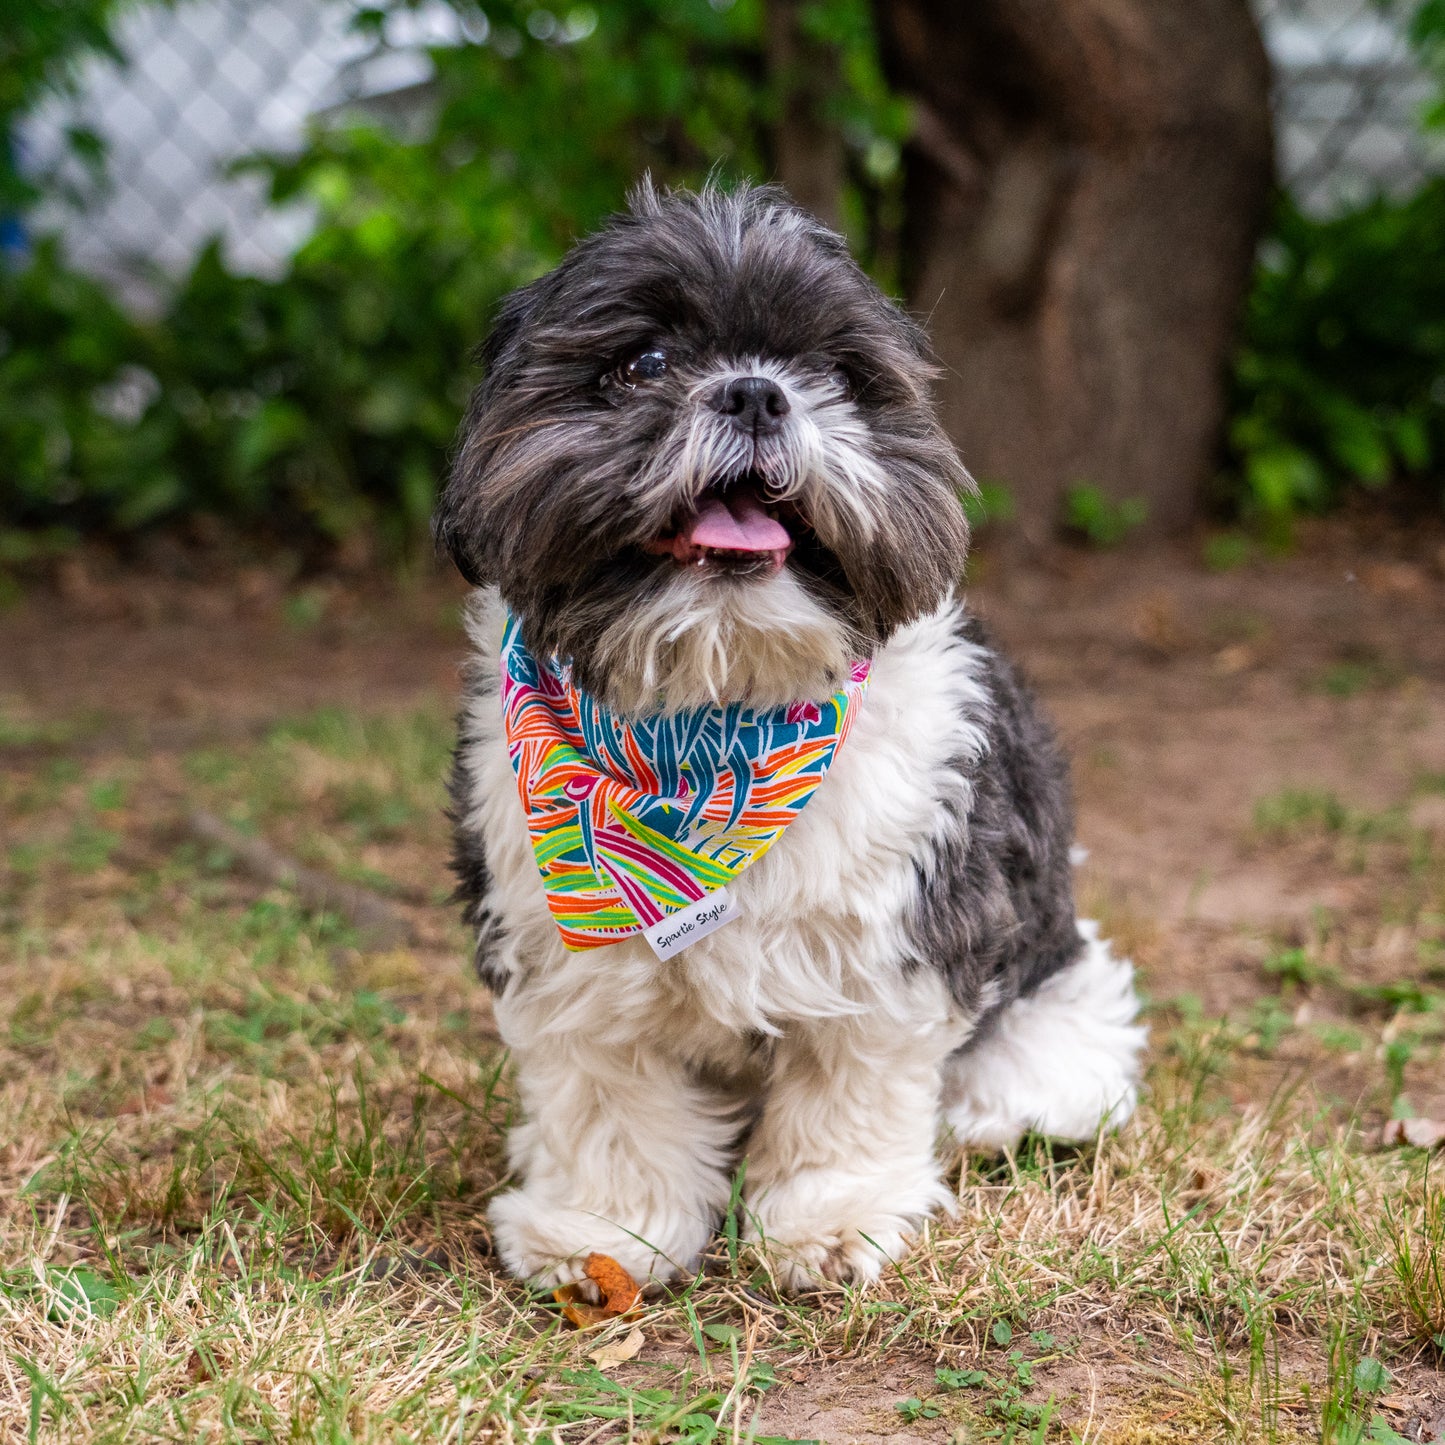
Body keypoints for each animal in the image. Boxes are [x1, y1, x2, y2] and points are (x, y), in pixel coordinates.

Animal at [433, 174, 1144, 1294]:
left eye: (835, 376)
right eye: (643, 363)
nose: (758, 393)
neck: (714, 727)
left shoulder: (891, 943)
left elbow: (846, 1092)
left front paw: (829, 1217)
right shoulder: (564, 956)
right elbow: (606, 1099)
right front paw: (603, 1227)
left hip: (1060, 979)